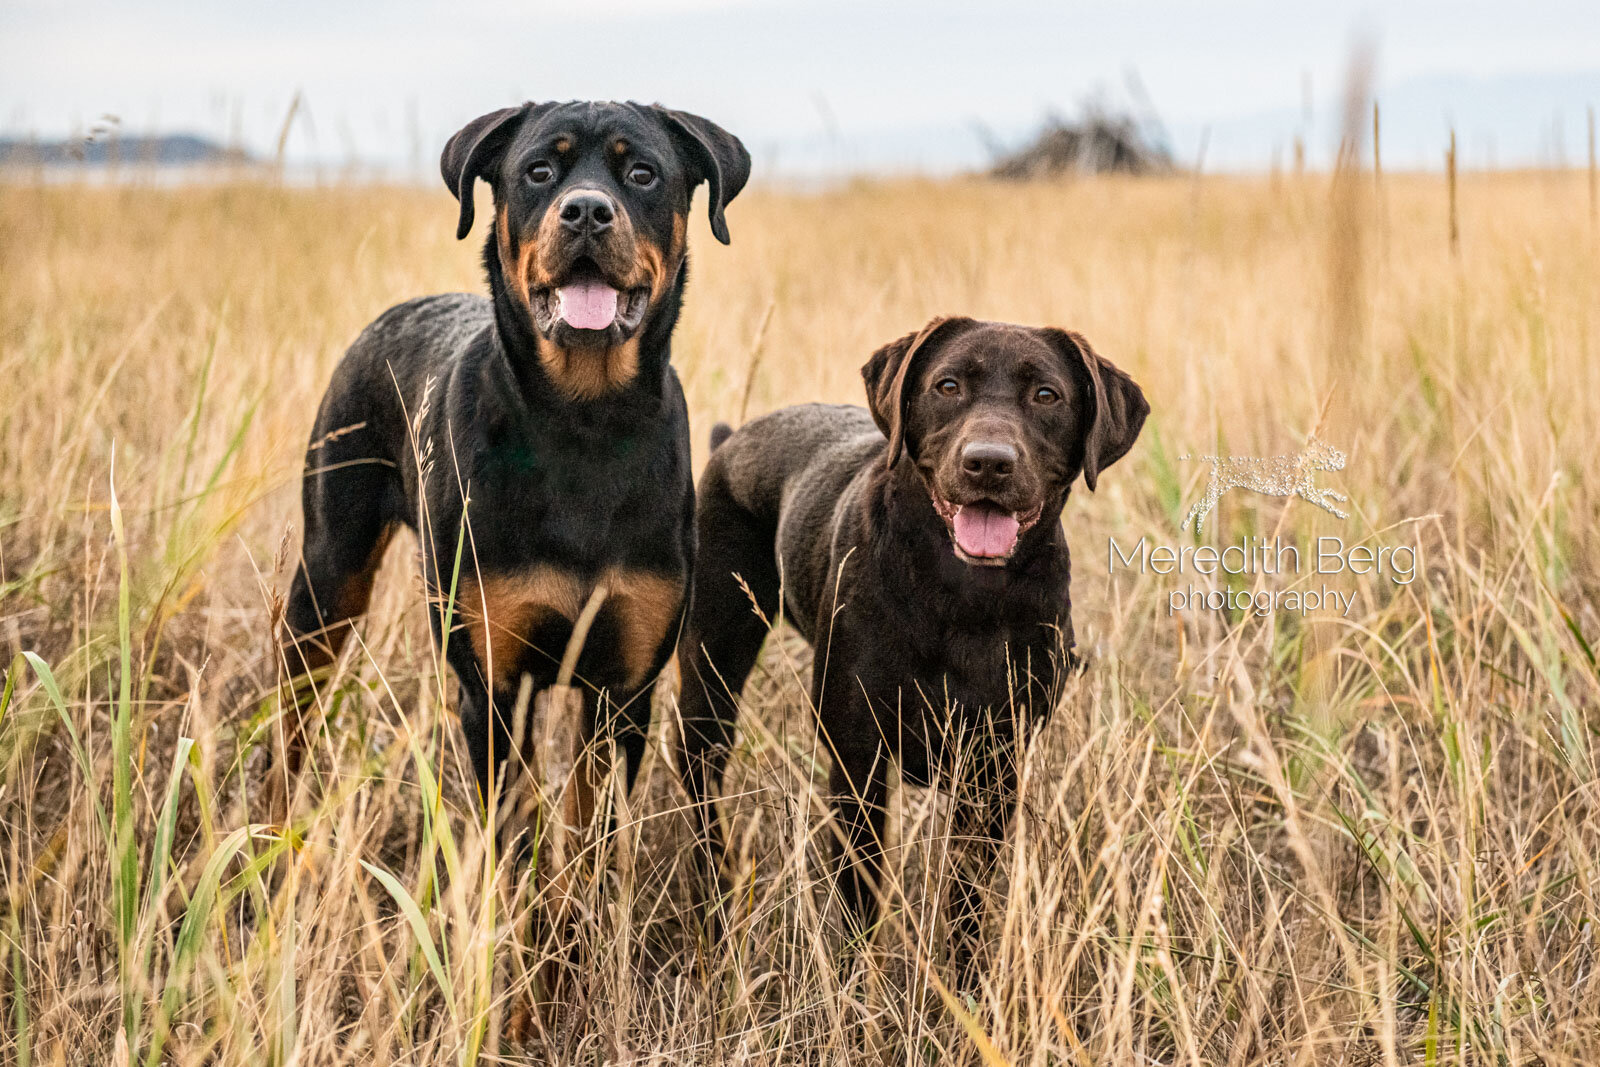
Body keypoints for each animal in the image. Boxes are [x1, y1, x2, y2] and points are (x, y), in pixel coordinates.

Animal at [280, 102, 748, 819]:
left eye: (643, 172)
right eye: (539, 171)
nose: (586, 211)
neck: (584, 419)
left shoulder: (623, 685)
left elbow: (590, 824)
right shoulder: (495, 686)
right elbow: (505, 828)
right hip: (329, 572)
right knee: (290, 711)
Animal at [675, 316, 1152, 966]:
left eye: (1046, 395)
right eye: (947, 386)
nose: (988, 463)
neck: (964, 596)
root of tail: (731, 440)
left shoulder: (994, 768)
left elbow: (967, 901)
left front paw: (967, 983)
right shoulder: (858, 761)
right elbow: (859, 900)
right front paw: (855, 988)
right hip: (712, 674)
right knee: (700, 787)